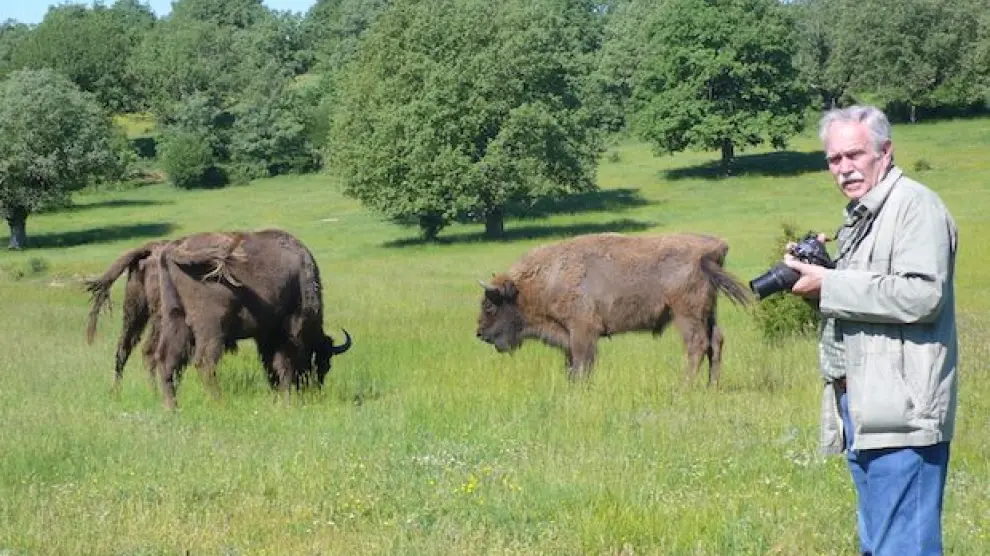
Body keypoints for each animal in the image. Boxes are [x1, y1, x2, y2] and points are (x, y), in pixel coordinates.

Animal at [475, 232, 752, 385]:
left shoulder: (582, 331)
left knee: (698, 345)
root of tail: (713, 248)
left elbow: (581, 363)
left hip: (686, 314)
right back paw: (711, 386)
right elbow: (573, 364)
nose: (479, 333)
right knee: (716, 341)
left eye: (489, 304)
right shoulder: (570, 337)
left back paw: (683, 387)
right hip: (708, 312)